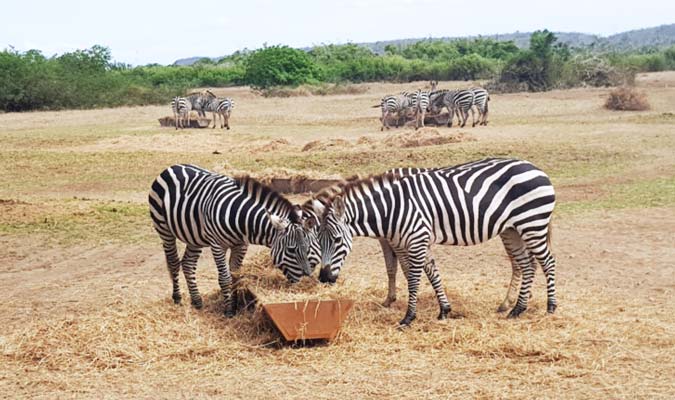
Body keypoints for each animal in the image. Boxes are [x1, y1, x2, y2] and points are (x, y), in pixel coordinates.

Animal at [149, 164, 320, 318]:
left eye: (308, 248)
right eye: (291, 250)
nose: (306, 279)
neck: (241, 219)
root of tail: (172, 167)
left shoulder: (241, 245)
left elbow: (236, 276)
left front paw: (237, 304)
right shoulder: (218, 246)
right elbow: (225, 278)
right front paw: (229, 311)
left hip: (194, 236)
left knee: (188, 264)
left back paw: (197, 301)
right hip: (164, 229)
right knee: (173, 262)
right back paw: (177, 298)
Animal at [312, 158, 556, 326]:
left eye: (336, 240)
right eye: (319, 242)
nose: (323, 278)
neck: (392, 209)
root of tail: (536, 168)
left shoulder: (416, 240)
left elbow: (413, 278)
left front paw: (408, 317)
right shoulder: (419, 240)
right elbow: (432, 273)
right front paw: (445, 310)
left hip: (532, 223)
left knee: (548, 262)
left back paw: (550, 307)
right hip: (514, 229)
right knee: (527, 265)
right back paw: (517, 309)